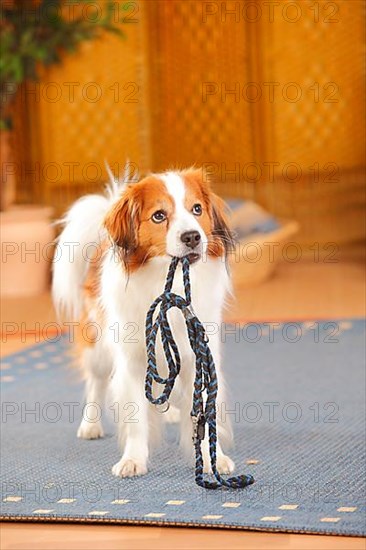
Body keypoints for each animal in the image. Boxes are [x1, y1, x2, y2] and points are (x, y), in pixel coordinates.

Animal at [53, 167, 236, 478]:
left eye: (197, 209)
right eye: (159, 216)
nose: (192, 237)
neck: (166, 280)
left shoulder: (197, 353)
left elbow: (203, 411)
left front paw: (214, 458)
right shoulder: (133, 360)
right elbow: (136, 417)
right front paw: (133, 460)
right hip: (98, 348)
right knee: (96, 382)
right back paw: (90, 424)